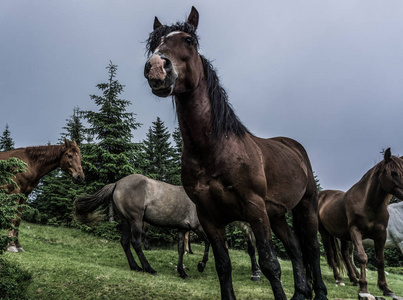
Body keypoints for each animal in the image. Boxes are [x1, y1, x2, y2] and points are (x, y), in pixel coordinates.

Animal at [145, 7, 328, 300]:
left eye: (188, 40)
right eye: (154, 44)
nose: (156, 67)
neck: (213, 150)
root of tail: (295, 148)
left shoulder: (254, 210)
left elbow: (270, 264)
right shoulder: (210, 217)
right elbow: (223, 266)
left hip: (306, 206)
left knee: (311, 248)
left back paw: (319, 292)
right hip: (277, 215)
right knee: (295, 247)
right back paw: (301, 292)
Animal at [318, 149, 403, 298]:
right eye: (393, 173)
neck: (368, 204)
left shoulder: (381, 235)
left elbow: (380, 260)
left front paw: (385, 288)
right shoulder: (356, 231)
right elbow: (363, 257)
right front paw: (364, 288)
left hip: (343, 236)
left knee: (345, 255)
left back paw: (354, 279)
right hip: (325, 233)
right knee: (332, 254)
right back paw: (339, 278)